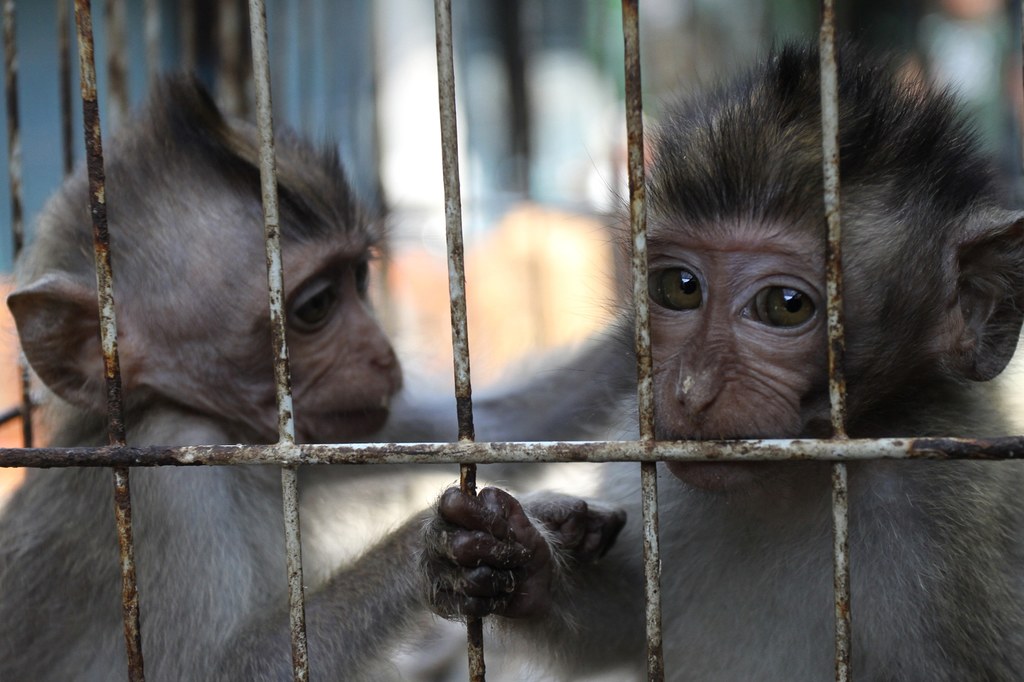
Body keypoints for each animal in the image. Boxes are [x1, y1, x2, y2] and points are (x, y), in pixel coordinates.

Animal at [0, 78, 417, 675]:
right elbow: (203, 671)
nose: (383, 355)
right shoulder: (168, 480)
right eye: (315, 306)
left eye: (360, 276)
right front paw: (439, 544)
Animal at [337, 45, 1024, 675]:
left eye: (786, 305)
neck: (792, 482)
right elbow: (623, 624)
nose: (692, 390)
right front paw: (505, 556)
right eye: (680, 288)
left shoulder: (946, 520)